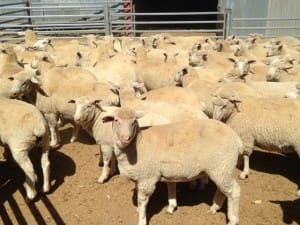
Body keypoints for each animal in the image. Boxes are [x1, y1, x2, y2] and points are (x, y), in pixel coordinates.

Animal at [102, 107, 243, 225]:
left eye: (134, 121)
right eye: (116, 120)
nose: (126, 138)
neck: (137, 144)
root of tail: (237, 138)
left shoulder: (147, 177)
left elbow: (142, 201)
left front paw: (141, 219)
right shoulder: (143, 176)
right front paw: (170, 207)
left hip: (222, 165)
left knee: (234, 191)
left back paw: (232, 220)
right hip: (221, 168)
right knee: (223, 190)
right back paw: (214, 208)